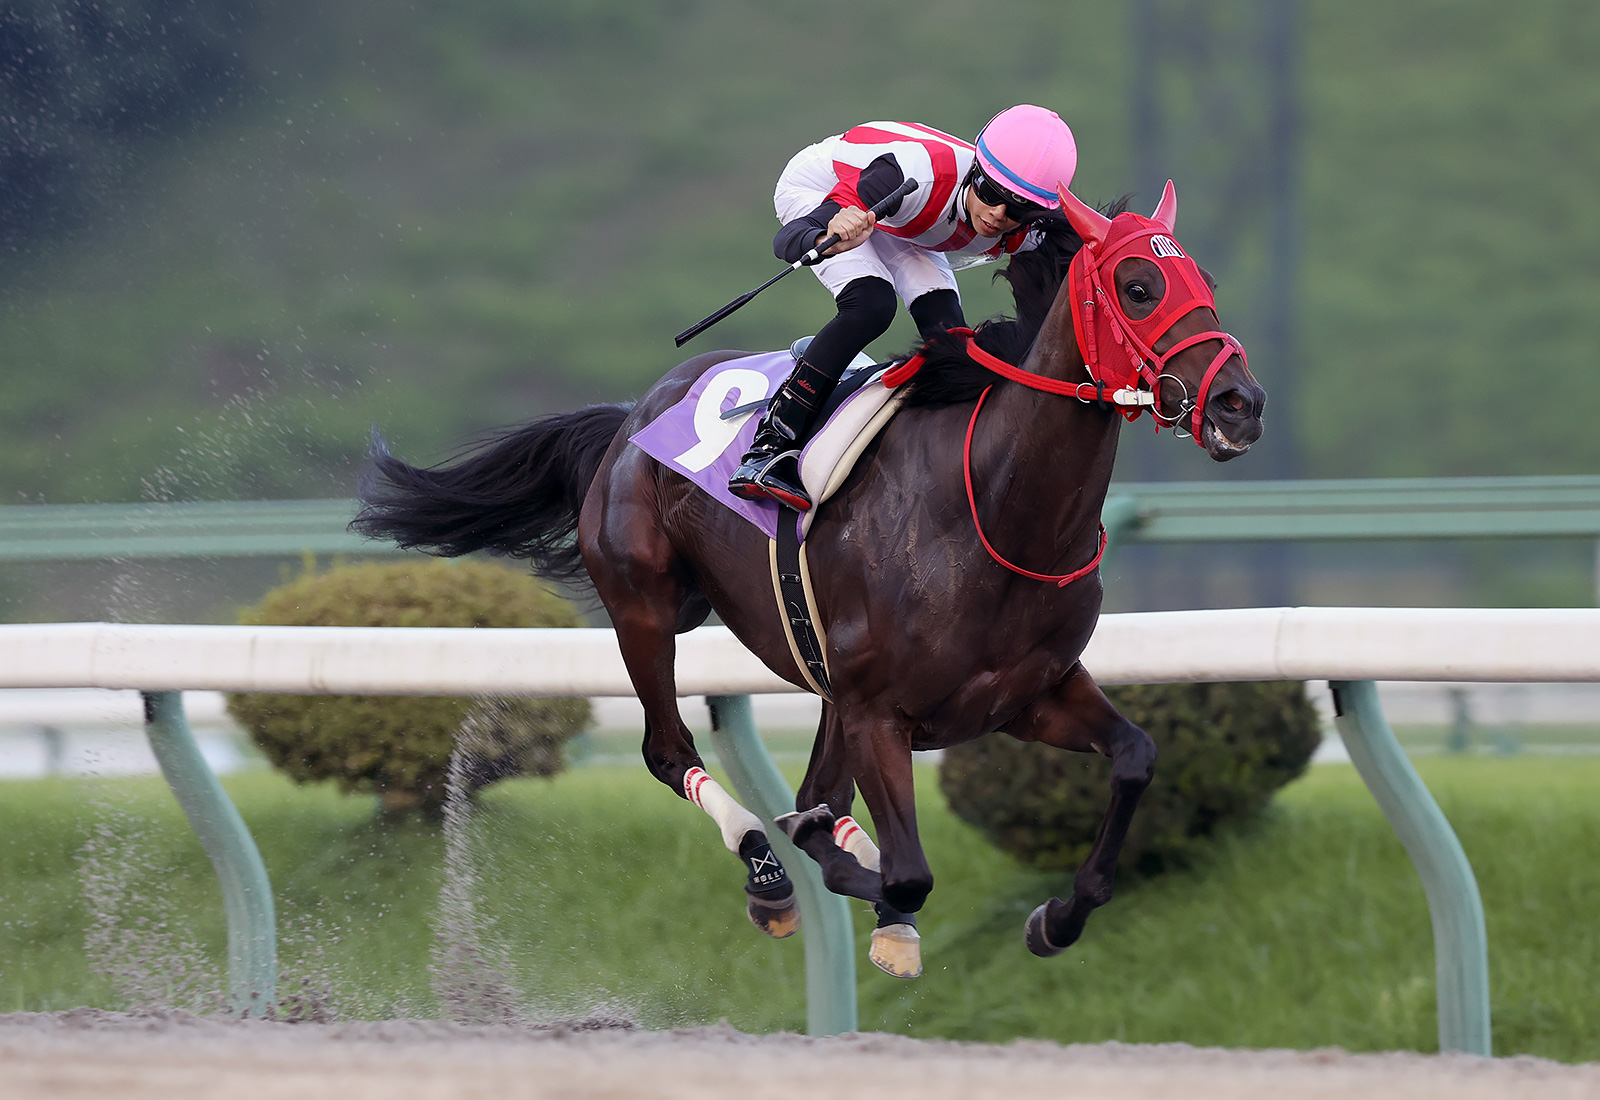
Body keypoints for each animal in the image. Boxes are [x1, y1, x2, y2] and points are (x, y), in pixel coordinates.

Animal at [356, 182, 1267, 978]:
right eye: (1139, 286)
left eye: (1208, 285)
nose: (1241, 403)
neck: (997, 507)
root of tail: (631, 418)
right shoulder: (880, 712)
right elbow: (896, 870)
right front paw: (864, 888)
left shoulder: (1025, 695)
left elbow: (1137, 756)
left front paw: (1060, 917)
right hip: (646, 608)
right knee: (671, 751)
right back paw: (770, 870)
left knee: (810, 790)